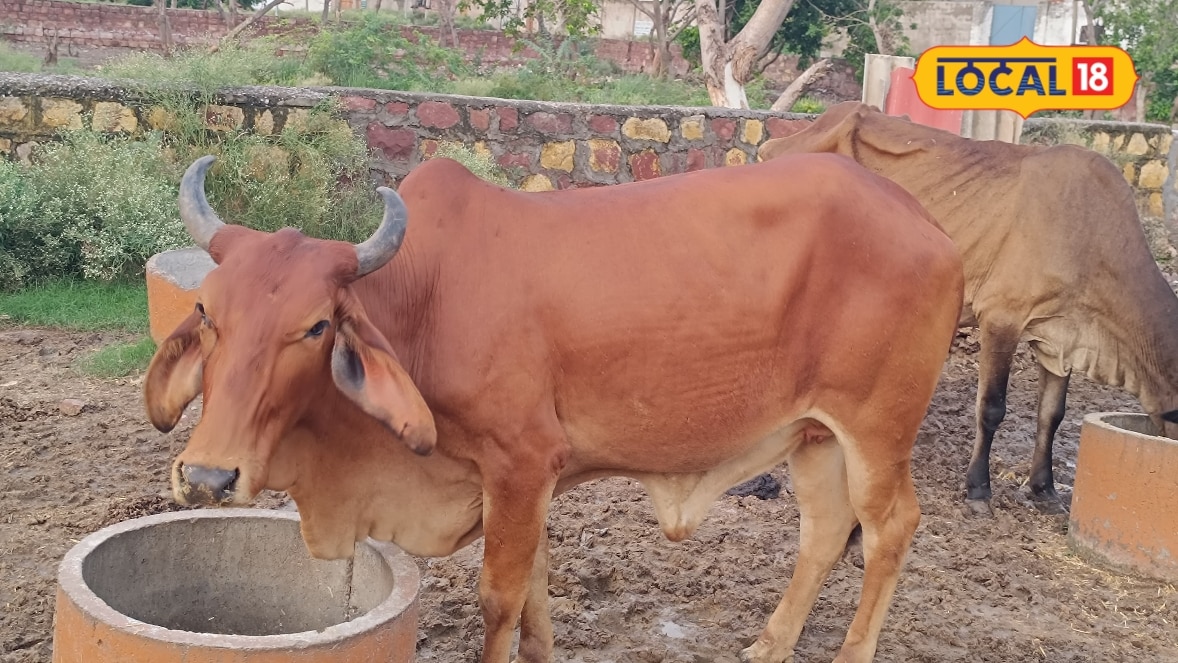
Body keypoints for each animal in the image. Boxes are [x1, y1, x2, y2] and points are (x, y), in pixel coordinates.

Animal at [144, 152, 964, 663]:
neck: (426, 298)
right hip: (814, 434)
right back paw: (770, 640)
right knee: (824, 532)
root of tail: (924, 220)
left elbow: (500, 597)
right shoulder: (520, 479)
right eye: (207, 310)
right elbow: (536, 591)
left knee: (890, 528)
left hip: (876, 430)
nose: (210, 477)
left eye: (315, 325)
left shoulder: (520, 460)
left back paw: (851, 648)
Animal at [759, 101, 1178, 515]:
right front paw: (979, 489)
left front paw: (1044, 490)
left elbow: (1052, 415)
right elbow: (992, 408)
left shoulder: (1060, 337)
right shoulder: (1002, 318)